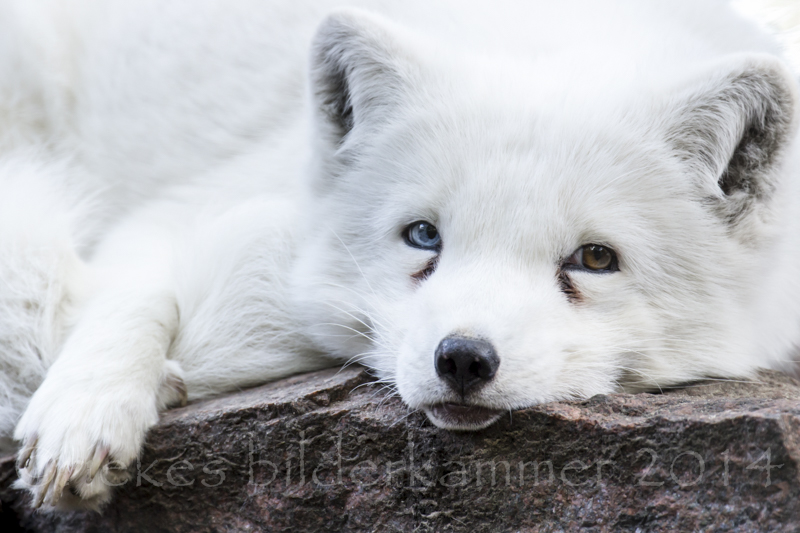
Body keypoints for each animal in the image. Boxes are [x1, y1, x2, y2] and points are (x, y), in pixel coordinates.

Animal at [1, 0, 800, 510]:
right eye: (423, 236)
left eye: (594, 259)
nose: (464, 359)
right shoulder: (173, 209)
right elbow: (135, 289)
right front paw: (86, 410)